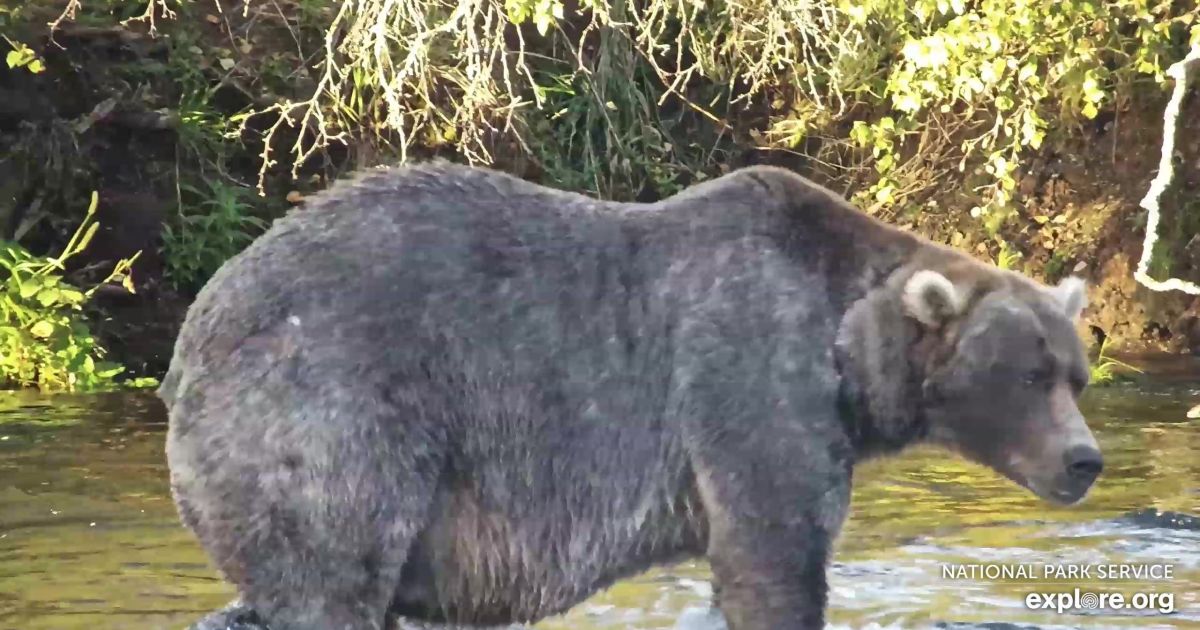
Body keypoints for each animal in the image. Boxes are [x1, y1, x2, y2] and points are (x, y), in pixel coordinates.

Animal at [159, 161, 1103, 630]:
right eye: (1028, 376)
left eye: (1075, 373)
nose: (1085, 459)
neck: (851, 355)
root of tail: (195, 332)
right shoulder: (749, 374)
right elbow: (772, 553)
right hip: (332, 408)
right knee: (331, 569)